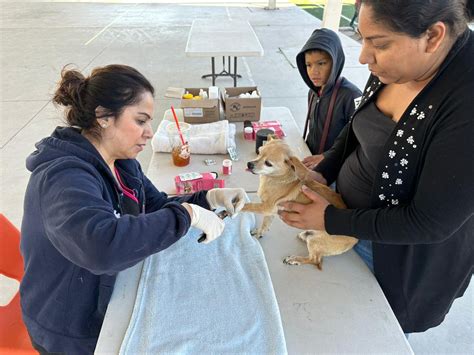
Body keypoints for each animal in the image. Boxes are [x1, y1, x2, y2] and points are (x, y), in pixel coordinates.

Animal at [243, 138, 358, 272]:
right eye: (259, 152)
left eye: (268, 163)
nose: (249, 164)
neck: (275, 179)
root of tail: (356, 240)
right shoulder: (270, 212)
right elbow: (265, 224)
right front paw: (259, 232)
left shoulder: (266, 207)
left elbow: (248, 206)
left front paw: (235, 207)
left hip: (315, 241)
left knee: (315, 260)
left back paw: (295, 259)